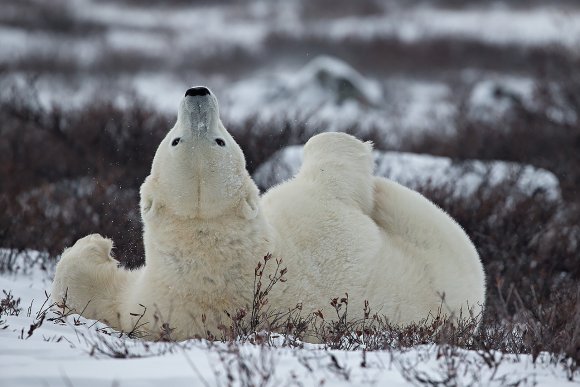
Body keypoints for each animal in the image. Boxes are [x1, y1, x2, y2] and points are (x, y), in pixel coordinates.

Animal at [52, 86, 484, 342]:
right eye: (177, 139)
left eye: (218, 139)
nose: (197, 92)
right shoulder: (316, 218)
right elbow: (332, 174)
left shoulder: (146, 304)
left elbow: (82, 294)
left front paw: (92, 246)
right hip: (444, 250)